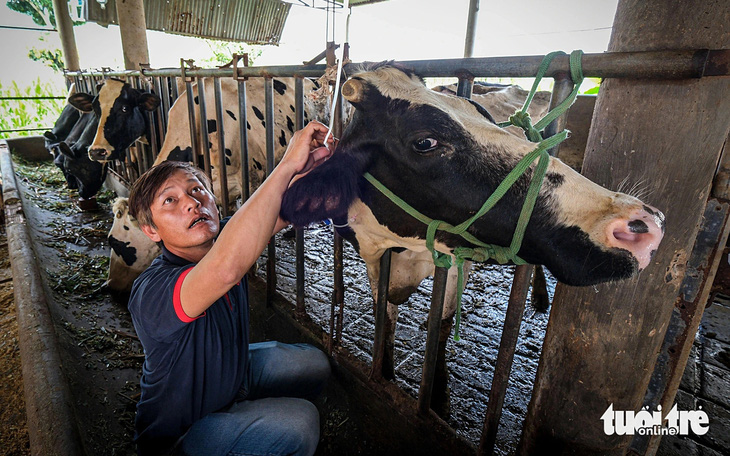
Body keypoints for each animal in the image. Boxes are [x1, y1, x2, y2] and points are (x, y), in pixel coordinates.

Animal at [278, 62, 664, 416]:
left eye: (482, 115)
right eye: (425, 141)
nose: (643, 224)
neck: (403, 249)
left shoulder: (453, 260)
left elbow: (443, 323)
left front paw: (438, 397)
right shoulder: (375, 258)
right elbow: (384, 321)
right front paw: (385, 375)